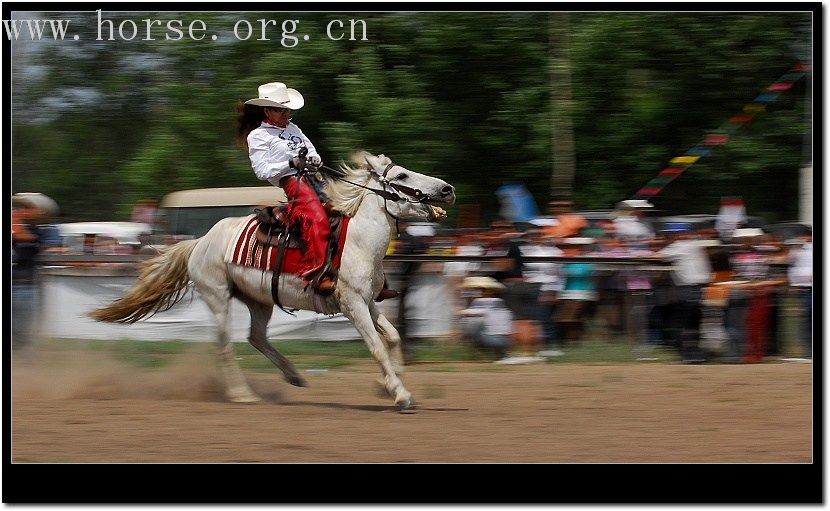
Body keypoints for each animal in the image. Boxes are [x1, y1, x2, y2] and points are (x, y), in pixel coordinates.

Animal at [91, 153, 458, 412]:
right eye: (401, 175)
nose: (447, 188)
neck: (357, 241)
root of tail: (199, 242)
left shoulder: (367, 301)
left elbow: (393, 337)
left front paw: (386, 384)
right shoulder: (352, 304)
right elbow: (377, 346)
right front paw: (400, 394)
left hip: (260, 301)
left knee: (256, 337)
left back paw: (293, 376)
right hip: (217, 296)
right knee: (224, 346)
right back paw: (243, 395)